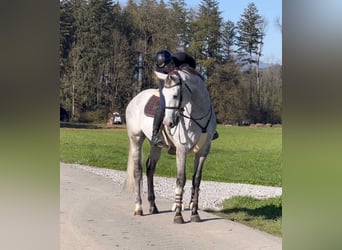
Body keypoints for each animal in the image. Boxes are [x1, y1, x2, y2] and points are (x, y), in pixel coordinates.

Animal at [125, 66, 216, 223]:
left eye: (175, 95)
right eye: (164, 96)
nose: (167, 123)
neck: (198, 115)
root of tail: (135, 99)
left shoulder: (203, 151)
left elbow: (196, 180)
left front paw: (194, 214)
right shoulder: (182, 150)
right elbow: (181, 179)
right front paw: (178, 215)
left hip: (155, 146)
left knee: (150, 169)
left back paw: (153, 206)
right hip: (136, 139)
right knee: (138, 172)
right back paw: (139, 208)